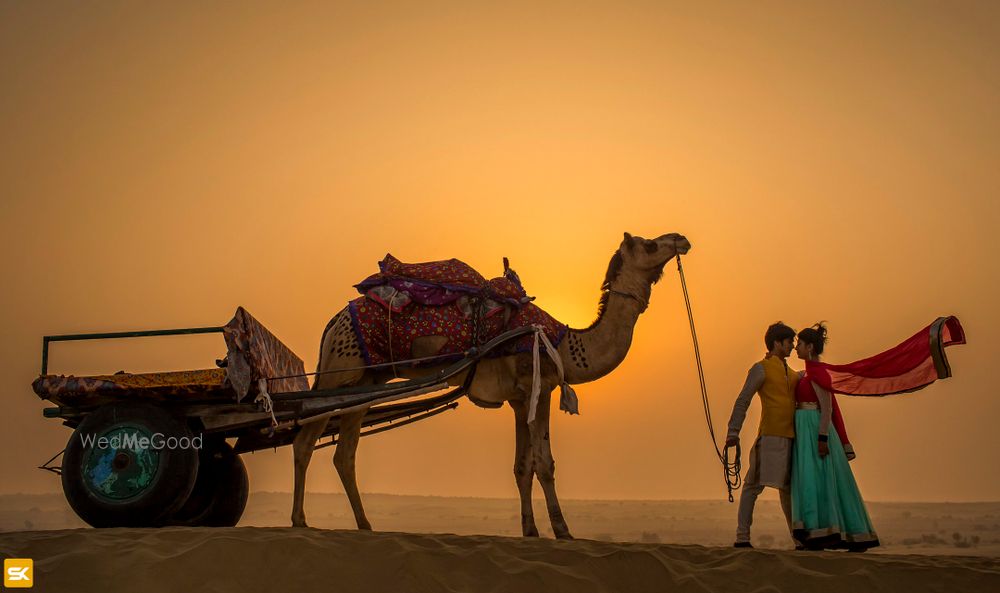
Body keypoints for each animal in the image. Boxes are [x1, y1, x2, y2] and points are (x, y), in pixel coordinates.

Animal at [292, 230, 692, 536]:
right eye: (650, 244)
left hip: (366, 378)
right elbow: (545, 463)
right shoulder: (540, 387)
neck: (565, 342)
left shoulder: (520, 398)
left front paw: (530, 530)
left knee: (343, 452)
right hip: (340, 370)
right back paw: (300, 520)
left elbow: (522, 467)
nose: (681, 239)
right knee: (305, 438)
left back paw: (363, 524)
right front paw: (563, 530)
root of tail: (334, 321)